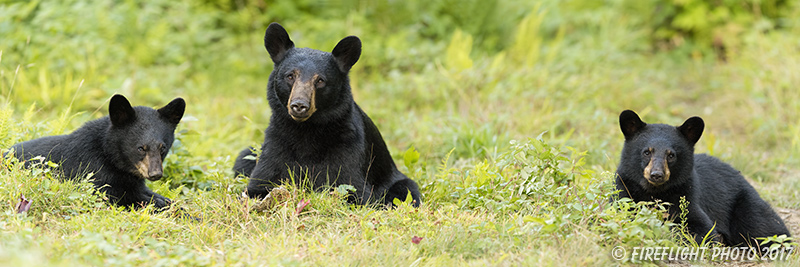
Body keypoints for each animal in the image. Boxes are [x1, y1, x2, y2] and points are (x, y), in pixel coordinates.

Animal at [8, 95, 186, 210]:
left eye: (163, 147)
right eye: (140, 148)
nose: (155, 174)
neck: (109, 155)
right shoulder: (93, 172)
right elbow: (122, 198)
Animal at [233, 22, 422, 207]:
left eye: (320, 80)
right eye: (290, 76)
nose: (299, 105)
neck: (306, 129)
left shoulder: (347, 147)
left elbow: (353, 189)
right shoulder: (276, 143)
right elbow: (260, 183)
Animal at [616, 110, 792, 248]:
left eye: (671, 155)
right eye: (647, 152)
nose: (657, 174)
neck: (655, 191)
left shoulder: (687, 195)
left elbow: (702, 229)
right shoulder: (624, 188)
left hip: (745, 204)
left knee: (766, 229)